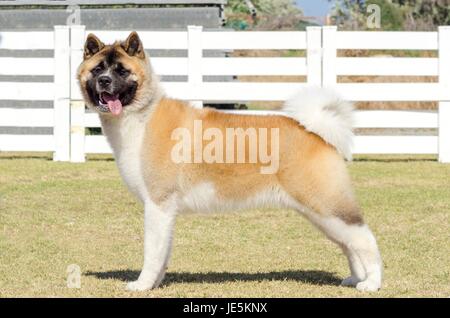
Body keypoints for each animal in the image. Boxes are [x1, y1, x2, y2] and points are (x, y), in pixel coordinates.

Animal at [77, 31, 384, 292]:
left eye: (121, 71)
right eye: (97, 69)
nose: (105, 81)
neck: (142, 115)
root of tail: (315, 131)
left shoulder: (158, 205)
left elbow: (152, 252)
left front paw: (142, 285)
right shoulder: (165, 212)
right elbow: (164, 251)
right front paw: (156, 283)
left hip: (327, 206)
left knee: (364, 239)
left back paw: (371, 283)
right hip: (320, 214)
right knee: (348, 244)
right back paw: (355, 278)